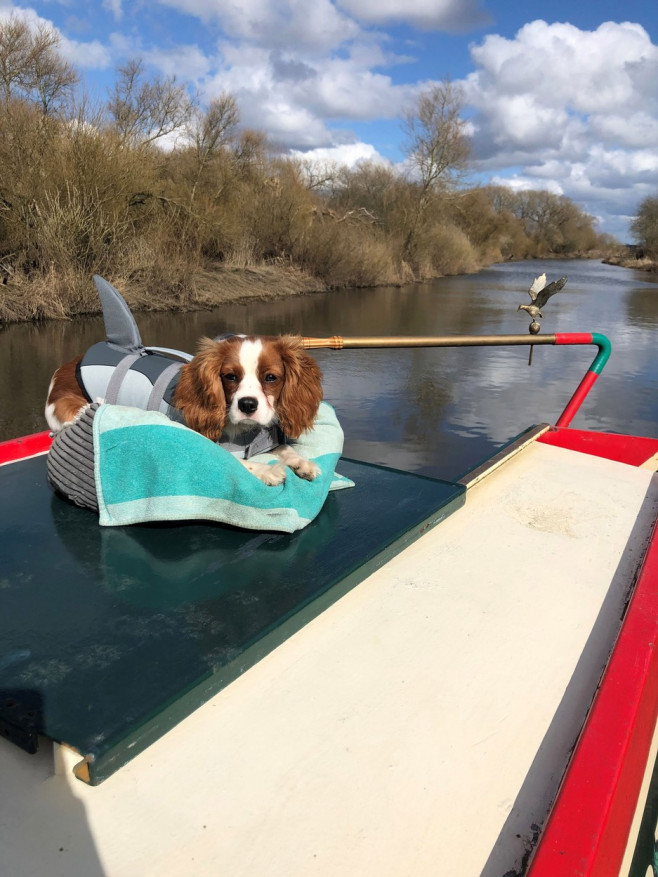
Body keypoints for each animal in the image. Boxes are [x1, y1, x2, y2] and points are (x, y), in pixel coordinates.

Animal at [45, 334, 322, 486]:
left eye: (271, 378)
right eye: (230, 376)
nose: (247, 404)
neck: (243, 432)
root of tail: (65, 368)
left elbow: (284, 449)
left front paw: (302, 462)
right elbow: (237, 461)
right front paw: (268, 470)